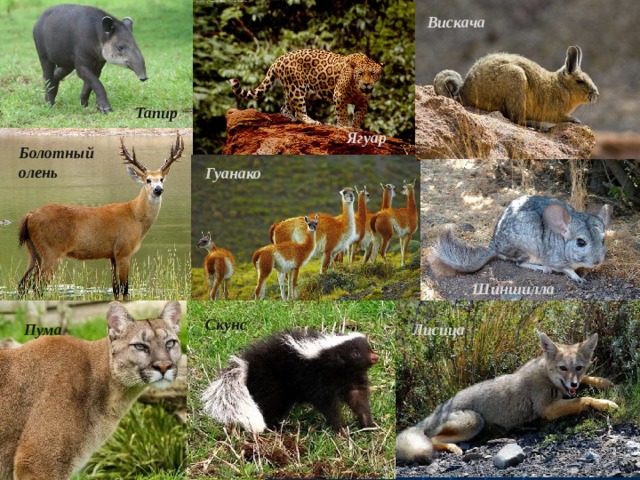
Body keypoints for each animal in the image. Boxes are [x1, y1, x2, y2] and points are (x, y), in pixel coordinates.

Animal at [18, 133, 184, 300]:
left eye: (161, 179)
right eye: (148, 180)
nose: (158, 190)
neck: (135, 217)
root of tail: (29, 215)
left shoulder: (112, 255)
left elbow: (115, 289)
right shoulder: (124, 251)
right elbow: (125, 289)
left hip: (33, 252)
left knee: (23, 283)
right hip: (51, 251)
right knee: (37, 286)